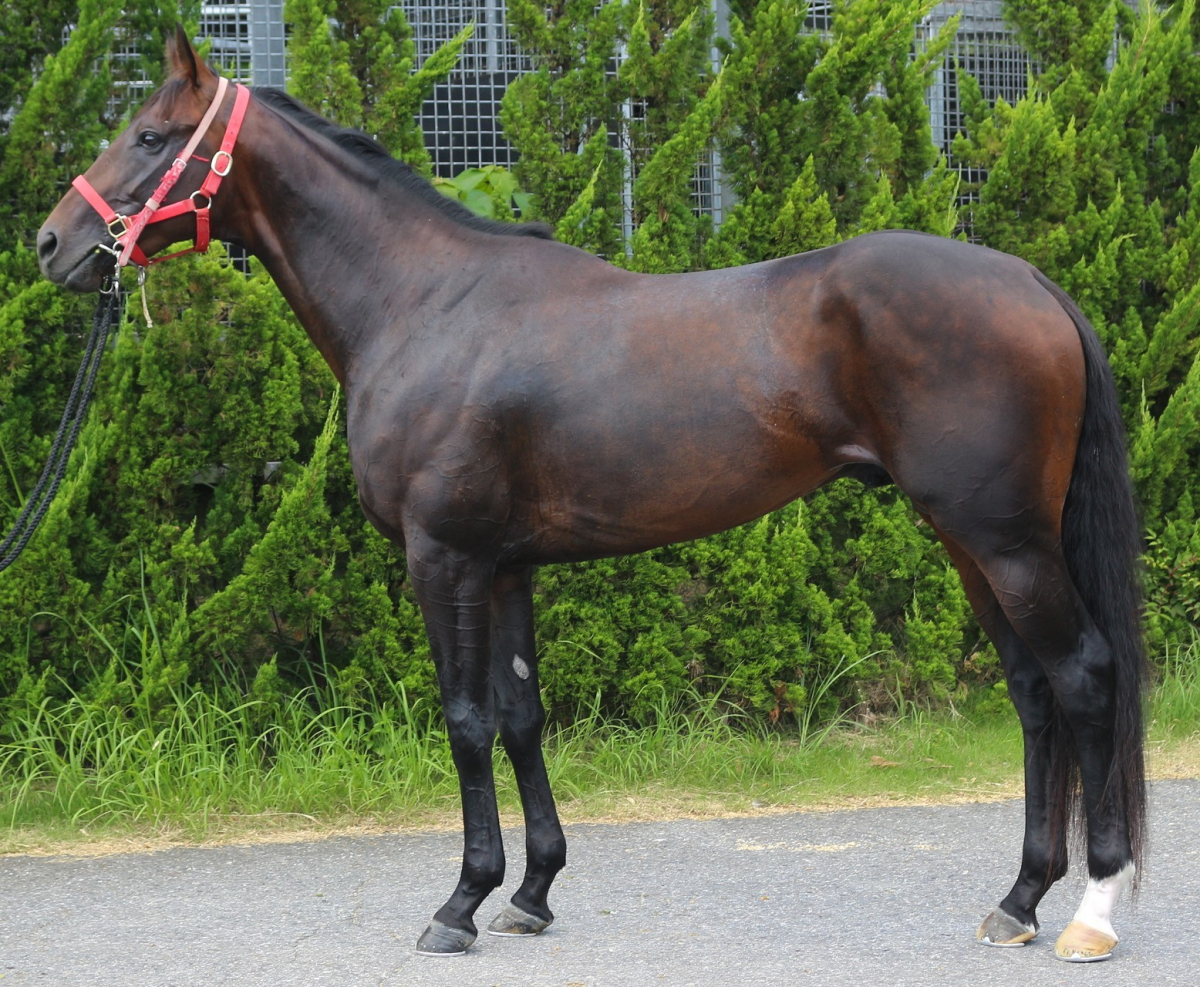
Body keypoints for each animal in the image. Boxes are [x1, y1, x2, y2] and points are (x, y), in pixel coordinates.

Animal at [37, 29, 1146, 963]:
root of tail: (1033, 283)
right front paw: (530, 893)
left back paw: (1091, 912)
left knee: (1086, 676)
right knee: (1034, 692)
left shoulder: (444, 556)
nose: (53, 245)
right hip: (970, 542)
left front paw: (459, 903)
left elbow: (466, 719)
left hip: (1005, 541)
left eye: (149, 136)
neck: (425, 302)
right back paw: (1017, 900)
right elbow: (523, 716)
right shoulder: (507, 564)